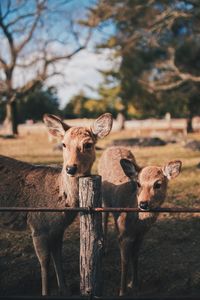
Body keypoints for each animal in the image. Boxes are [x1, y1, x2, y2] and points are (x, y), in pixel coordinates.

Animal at [0, 112, 112, 296]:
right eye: (63, 144)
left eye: (88, 144)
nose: (70, 168)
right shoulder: (37, 224)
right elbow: (45, 261)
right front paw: (45, 292)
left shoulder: (58, 229)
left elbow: (58, 256)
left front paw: (65, 289)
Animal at [97, 146, 182, 296]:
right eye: (138, 183)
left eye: (158, 184)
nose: (143, 204)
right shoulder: (123, 236)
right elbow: (124, 260)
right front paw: (122, 291)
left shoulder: (140, 236)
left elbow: (135, 256)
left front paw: (135, 284)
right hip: (104, 199)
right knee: (104, 217)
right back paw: (104, 249)